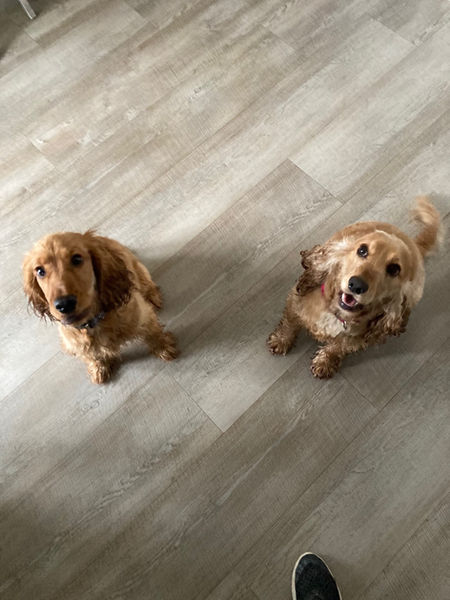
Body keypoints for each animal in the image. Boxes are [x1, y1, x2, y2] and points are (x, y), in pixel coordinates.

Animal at [23, 231, 178, 383]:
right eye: (40, 271)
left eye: (77, 259)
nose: (64, 304)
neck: (93, 322)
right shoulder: (78, 343)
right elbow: (91, 355)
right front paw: (99, 368)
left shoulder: (143, 317)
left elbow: (153, 334)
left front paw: (164, 348)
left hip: (136, 268)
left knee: (145, 281)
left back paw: (152, 296)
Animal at [267, 197, 442, 378]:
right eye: (362, 250)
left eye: (394, 269)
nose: (357, 284)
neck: (338, 314)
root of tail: (414, 245)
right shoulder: (295, 304)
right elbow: (289, 325)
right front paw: (281, 340)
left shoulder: (354, 338)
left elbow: (337, 348)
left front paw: (325, 362)